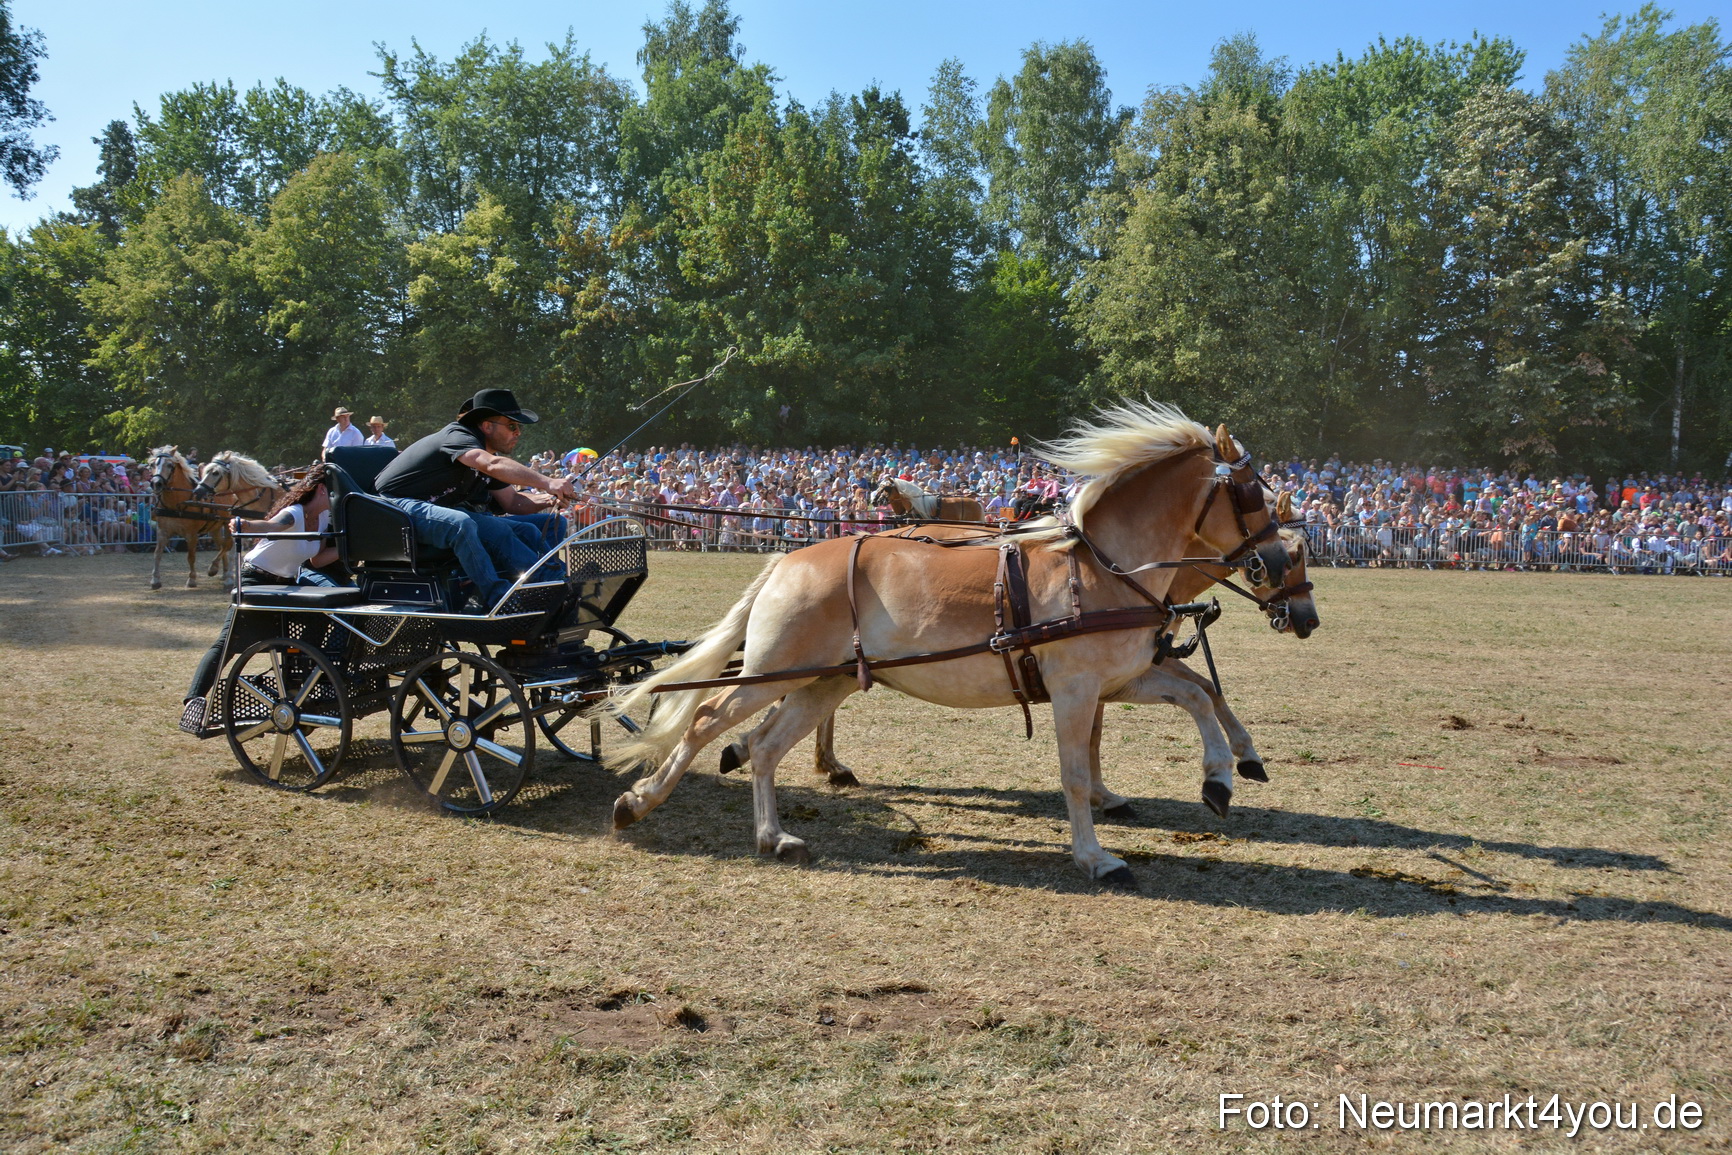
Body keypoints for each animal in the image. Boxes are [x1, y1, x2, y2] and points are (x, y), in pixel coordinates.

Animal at [146, 447, 233, 591]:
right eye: (152, 465)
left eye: (169, 465)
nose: (156, 484)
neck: (176, 503)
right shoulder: (162, 531)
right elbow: (157, 553)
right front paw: (155, 580)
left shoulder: (191, 534)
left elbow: (191, 556)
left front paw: (191, 579)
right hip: (215, 527)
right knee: (222, 545)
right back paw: (225, 573)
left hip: (228, 523)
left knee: (228, 544)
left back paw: (223, 573)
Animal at [608, 401, 1294, 888]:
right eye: (1253, 494)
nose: (1277, 563)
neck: (1102, 567)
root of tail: (788, 559)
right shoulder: (1075, 689)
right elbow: (1075, 774)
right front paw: (1095, 857)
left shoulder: (1124, 677)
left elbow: (1199, 696)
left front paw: (1221, 778)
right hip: (775, 671)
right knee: (706, 719)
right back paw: (639, 802)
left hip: (823, 681)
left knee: (767, 746)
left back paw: (773, 837)